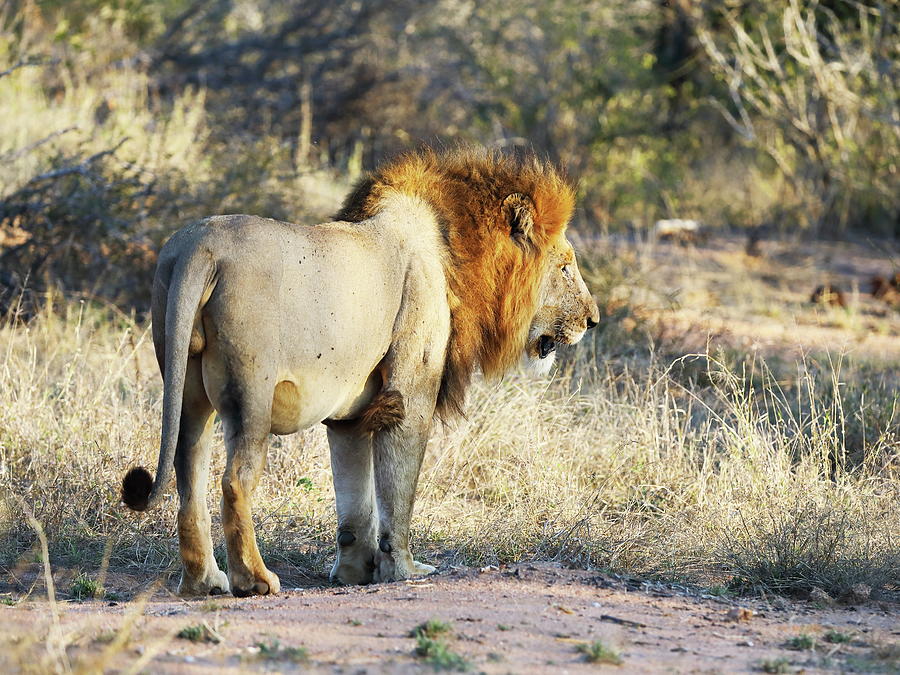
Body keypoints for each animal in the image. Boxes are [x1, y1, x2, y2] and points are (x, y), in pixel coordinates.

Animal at [119, 147, 596, 596]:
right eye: (565, 267)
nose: (592, 320)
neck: (453, 249)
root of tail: (200, 247)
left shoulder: (349, 413)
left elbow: (355, 500)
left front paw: (352, 572)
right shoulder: (410, 393)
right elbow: (397, 492)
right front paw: (402, 570)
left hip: (187, 388)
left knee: (188, 477)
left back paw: (204, 581)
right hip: (251, 392)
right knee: (235, 481)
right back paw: (255, 580)